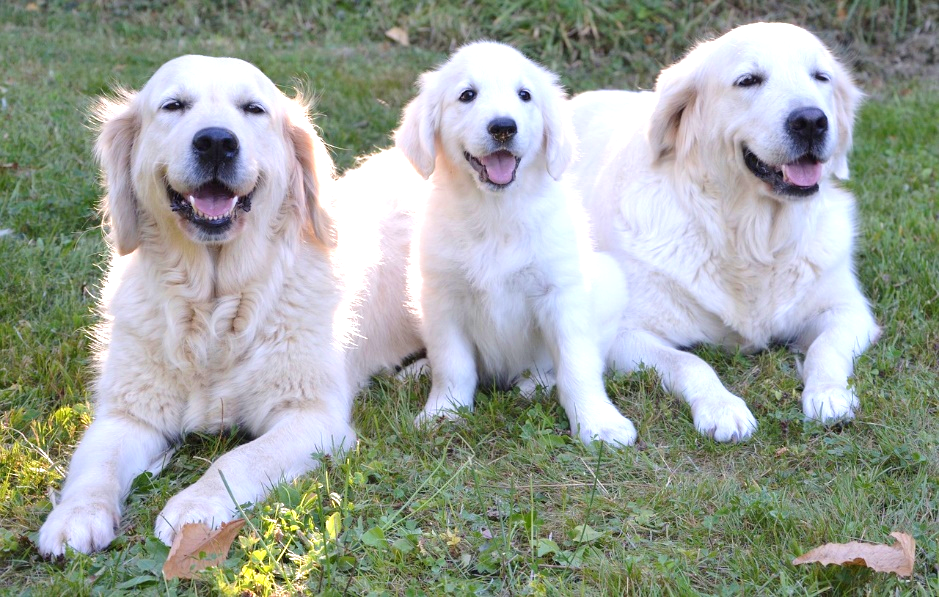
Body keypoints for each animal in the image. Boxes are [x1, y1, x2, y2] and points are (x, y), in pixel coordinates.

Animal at [392, 43, 636, 448]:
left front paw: (598, 423)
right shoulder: (442, 297)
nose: (504, 127)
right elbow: (452, 364)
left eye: (525, 95)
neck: (496, 213)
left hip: (610, 282)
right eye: (467, 95)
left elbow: (578, 365)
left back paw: (534, 385)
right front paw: (444, 411)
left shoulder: (562, 294)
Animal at [564, 23, 880, 440]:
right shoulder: (623, 332)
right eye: (748, 80)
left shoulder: (849, 310)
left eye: (820, 77)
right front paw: (723, 408)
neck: (750, 237)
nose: (811, 121)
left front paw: (829, 394)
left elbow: (824, 348)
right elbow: (690, 362)